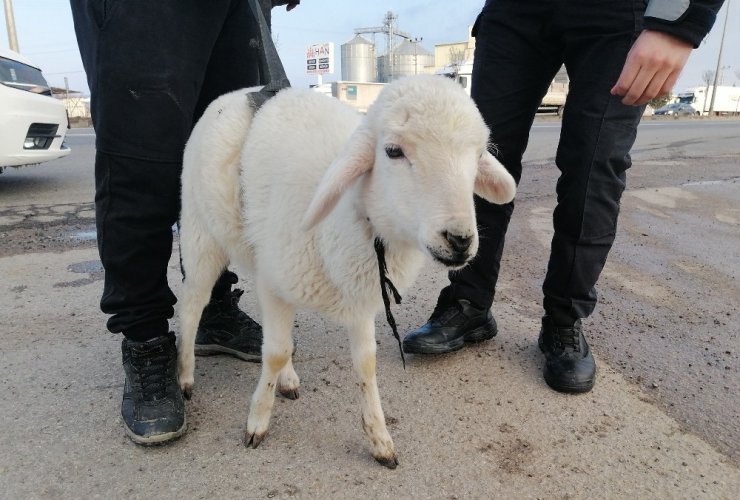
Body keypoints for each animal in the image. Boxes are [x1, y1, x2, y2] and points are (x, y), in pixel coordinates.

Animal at [177, 75, 516, 468]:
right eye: (393, 151)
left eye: (478, 156)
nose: (460, 240)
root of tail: (240, 93)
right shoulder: (276, 282)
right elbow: (274, 351)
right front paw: (257, 422)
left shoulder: (359, 295)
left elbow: (365, 363)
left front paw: (380, 439)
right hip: (201, 234)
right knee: (192, 306)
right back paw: (184, 377)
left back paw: (286, 379)